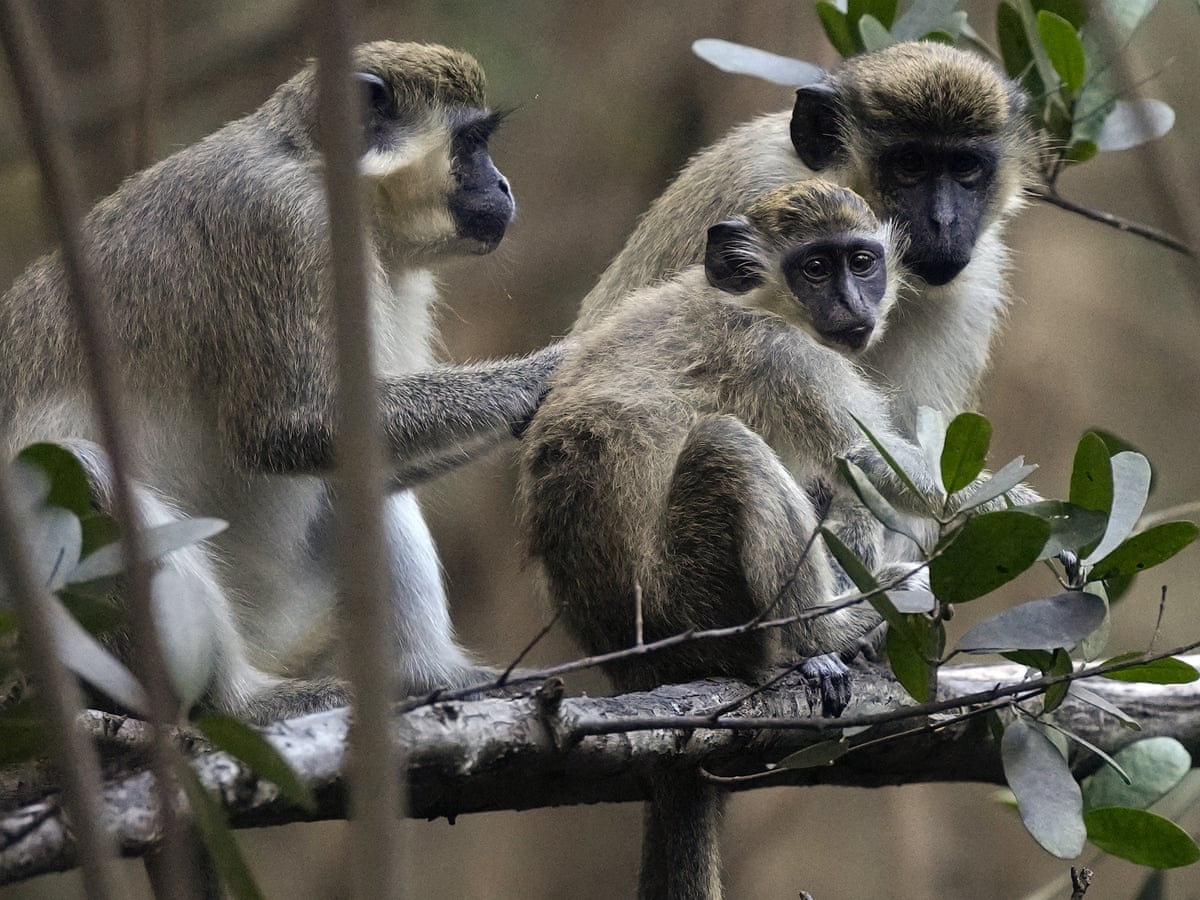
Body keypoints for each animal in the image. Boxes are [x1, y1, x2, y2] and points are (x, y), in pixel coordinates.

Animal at [0, 41, 564, 724]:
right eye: (472, 143)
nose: (503, 185)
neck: (319, 169)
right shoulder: (284, 226)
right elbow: (291, 428)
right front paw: (548, 369)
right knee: (80, 468)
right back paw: (237, 702)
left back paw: (433, 676)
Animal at [517, 181, 945, 900]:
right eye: (815, 268)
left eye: (861, 262)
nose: (853, 303)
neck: (754, 302)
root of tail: (635, 666)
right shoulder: (784, 359)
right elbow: (869, 461)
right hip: (696, 603)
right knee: (733, 446)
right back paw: (828, 636)